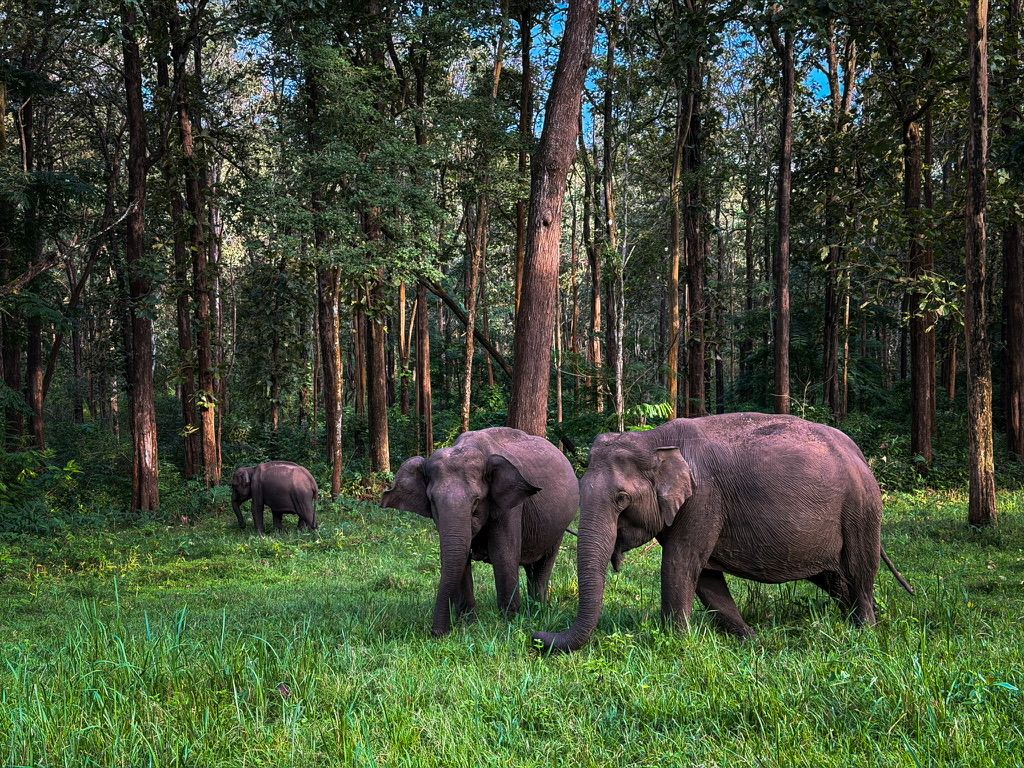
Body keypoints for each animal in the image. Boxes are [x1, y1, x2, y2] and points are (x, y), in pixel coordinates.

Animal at [382, 427, 580, 637]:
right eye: (432, 501)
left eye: (476, 501)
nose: (437, 632)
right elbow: (459, 558)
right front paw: (468, 623)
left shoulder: (509, 508)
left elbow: (504, 555)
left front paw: (508, 623)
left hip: (559, 527)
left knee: (543, 565)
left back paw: (538, 609)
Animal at [532, 413, 913, 653]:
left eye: (621, 499)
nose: (536, 635)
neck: (654, 439)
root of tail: (859, 454)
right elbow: (706, 577)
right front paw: (749, 638)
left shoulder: (703, 500)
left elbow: (681, 564)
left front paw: (676, 640)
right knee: (834, 577)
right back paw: (865, 617)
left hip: (861, 509)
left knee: (860, 568)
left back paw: (865, 629)